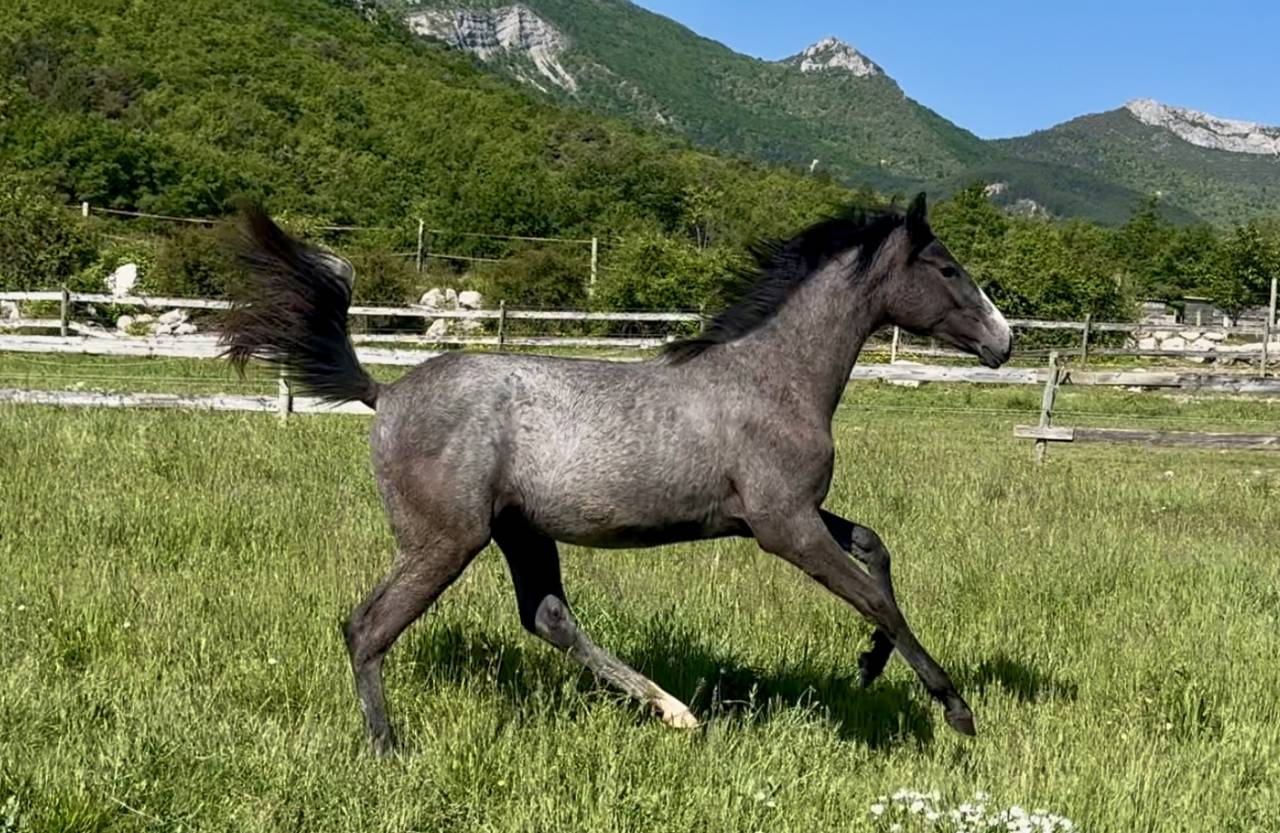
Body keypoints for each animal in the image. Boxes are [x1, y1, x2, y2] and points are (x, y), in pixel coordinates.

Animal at [221, 193, 1012, 756]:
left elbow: (876, 550)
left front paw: (870, 666)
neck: (773, 380)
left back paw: (675, 712)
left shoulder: (786, 515)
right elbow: (874, 596)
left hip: (520, 531)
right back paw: (388, 750)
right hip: (445, 540)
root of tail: (384, 392)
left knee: (547, 616)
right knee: (367, 627)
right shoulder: (783, 526)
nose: (1004, 341)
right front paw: (955, 708)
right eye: (947, 268)